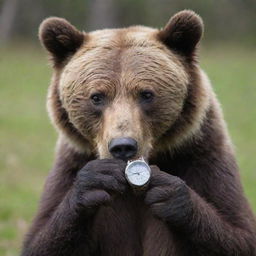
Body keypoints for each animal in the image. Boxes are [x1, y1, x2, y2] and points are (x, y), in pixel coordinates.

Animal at [20, 10, 256, 256]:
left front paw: (170, 194)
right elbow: (41, 239)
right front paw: (95, 180)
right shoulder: (72, 159)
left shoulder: (200, 153)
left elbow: (238, 232)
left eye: (146, 94)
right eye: (97, 97)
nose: (123, 146)